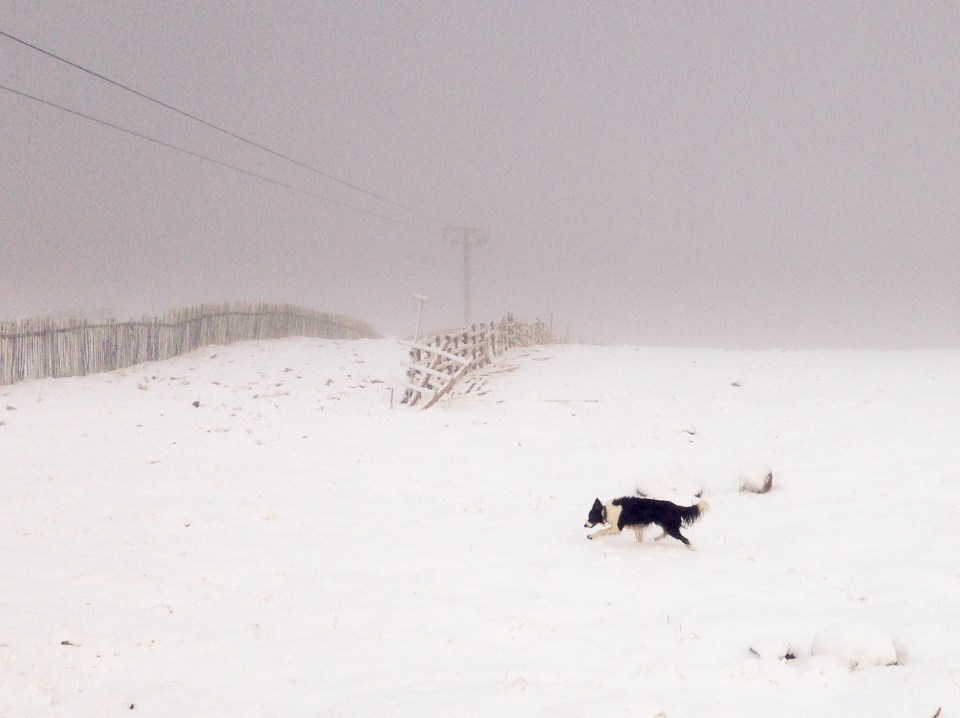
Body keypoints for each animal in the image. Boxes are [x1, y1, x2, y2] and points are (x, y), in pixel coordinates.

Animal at [580, 496, 708, 552]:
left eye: (590, 517)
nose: (584, 525)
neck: (605, 510)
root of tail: (676, 507)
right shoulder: (638, 526)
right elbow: (639, 537)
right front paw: (638, 544)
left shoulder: (617, 528)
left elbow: (601, 531)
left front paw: (591, 536)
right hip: (666, 525)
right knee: (665, 532)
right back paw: (656, 539)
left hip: (671, 528)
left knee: (684, 539)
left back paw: (691, 548)